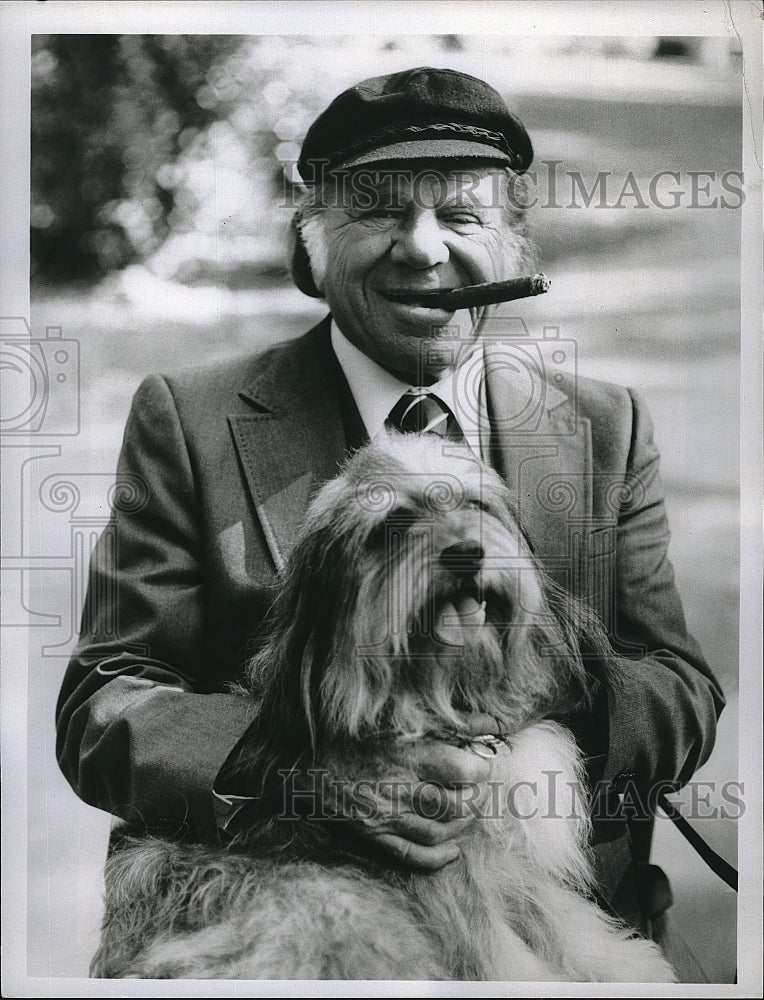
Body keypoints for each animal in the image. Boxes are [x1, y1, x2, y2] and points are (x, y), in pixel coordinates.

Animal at [89, 434, 676, 980]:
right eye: (395, 523)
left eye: (475, 504)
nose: (466, 553)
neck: (444, 692)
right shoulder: (443, 873)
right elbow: (497, 951)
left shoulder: (511, 865)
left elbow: (559, 920)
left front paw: (627, 967)